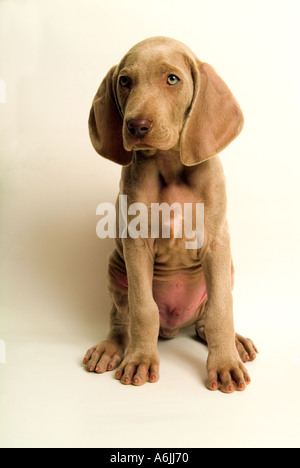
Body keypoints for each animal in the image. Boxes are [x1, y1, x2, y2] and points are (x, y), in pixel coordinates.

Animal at [82, 36, 258, 394]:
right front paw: (140, 359)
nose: (136, 126)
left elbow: (221, 310)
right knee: (122, 318)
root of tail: (175, 327)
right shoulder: (136, 244)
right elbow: (143, 310)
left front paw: (225, 363)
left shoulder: (216, 243)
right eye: (125, 81)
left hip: (227, 269)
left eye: (172, 79)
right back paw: (111, 348)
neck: (170, 165)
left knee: (206, 320)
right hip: (115, 268)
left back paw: (236, 342)